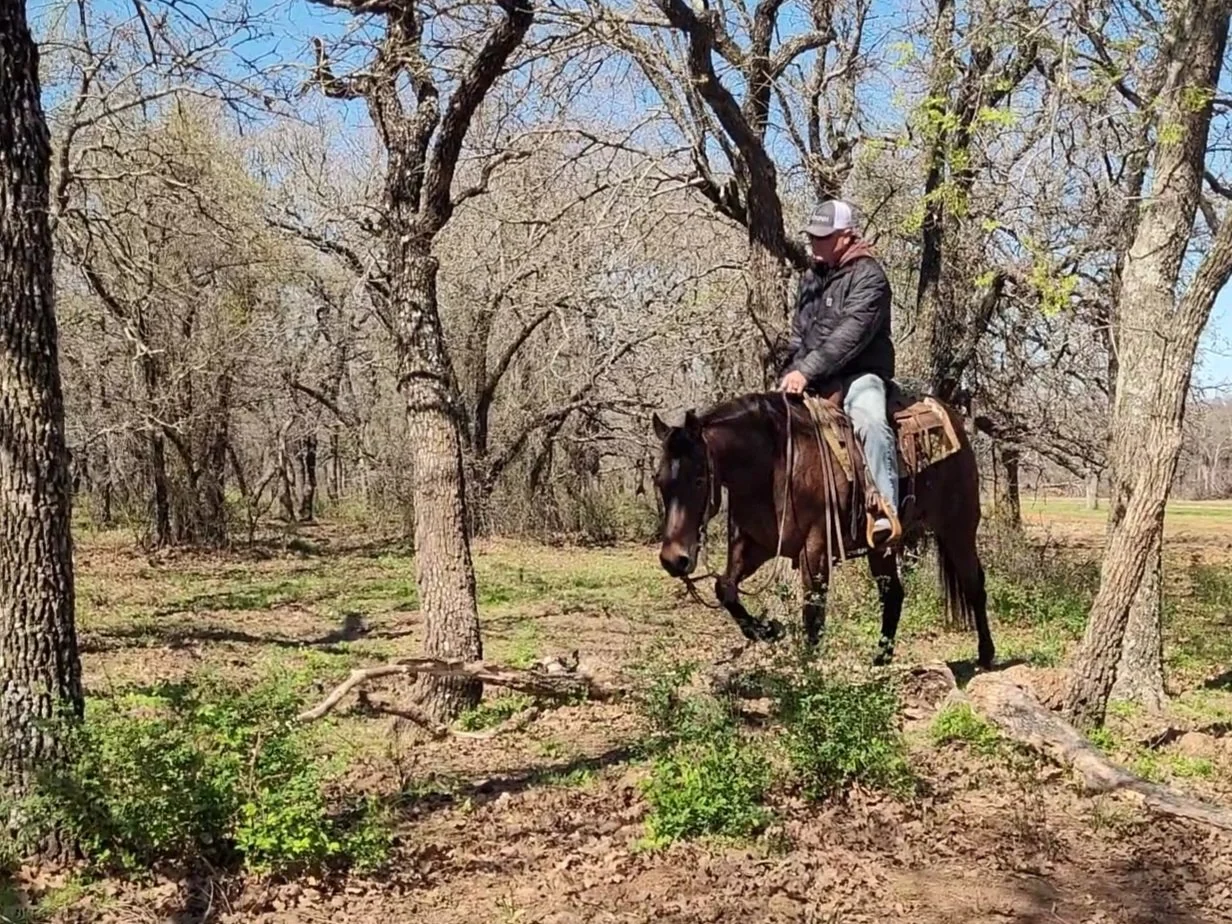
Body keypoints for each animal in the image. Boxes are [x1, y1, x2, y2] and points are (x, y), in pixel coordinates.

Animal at [650, 387, 995, 669]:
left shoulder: (815, 550)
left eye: (698, 480)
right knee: (893, 594)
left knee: (974, 584)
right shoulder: (753, 547)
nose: (673, 559)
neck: (775, 462)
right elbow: (725, 589)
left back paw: (986, 654)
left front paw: (810, 674)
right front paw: (768, 631)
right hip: (880, 547)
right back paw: (881, 659)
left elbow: (813, 615)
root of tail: (950, 416)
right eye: (659, 481)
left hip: (958, 526)